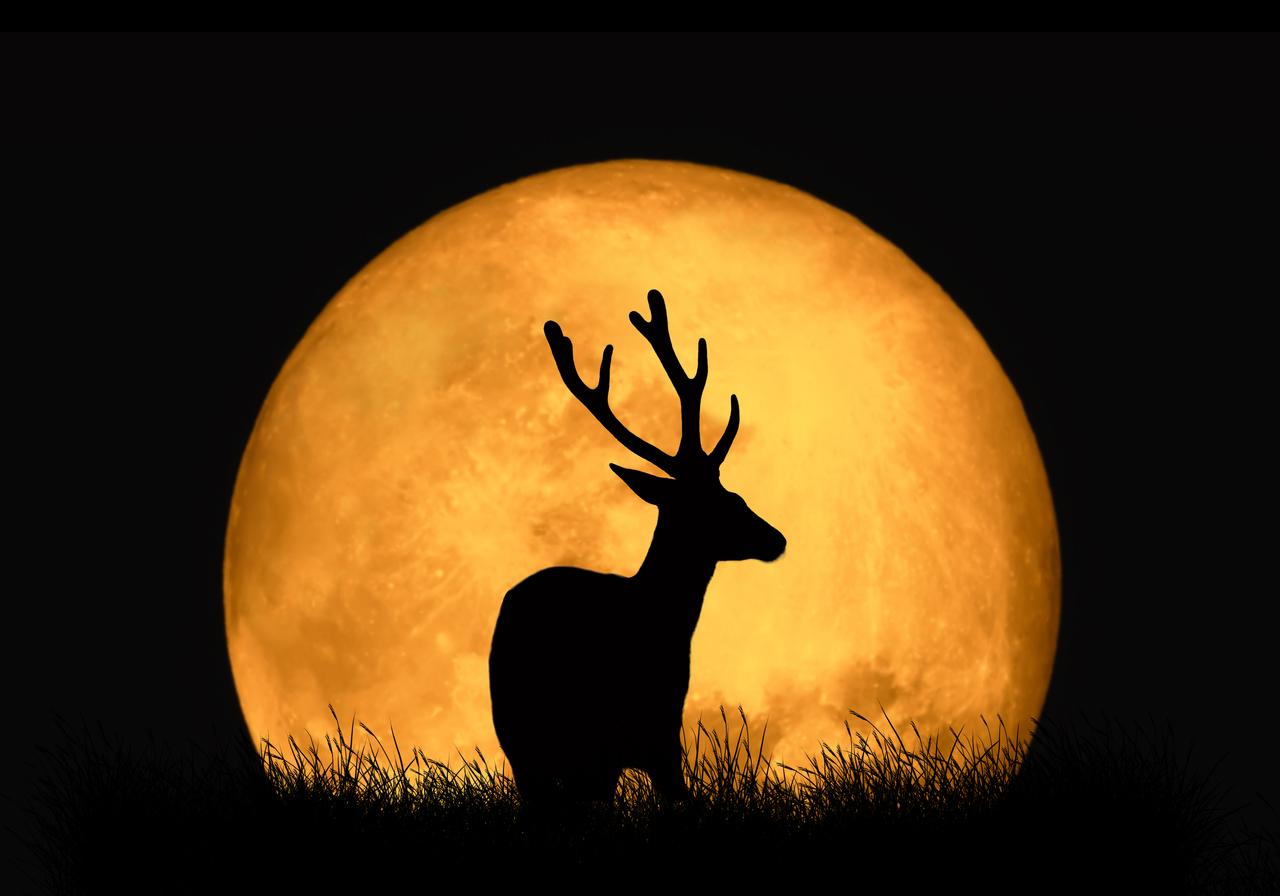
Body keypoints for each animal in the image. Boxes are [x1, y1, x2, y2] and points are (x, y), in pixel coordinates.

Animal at [488, 288, 786, 805]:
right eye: (727, 501)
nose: (776, 538)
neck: (656, 623)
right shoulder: (637, 743)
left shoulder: (654, 742)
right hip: (538, 741)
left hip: (528, 744)